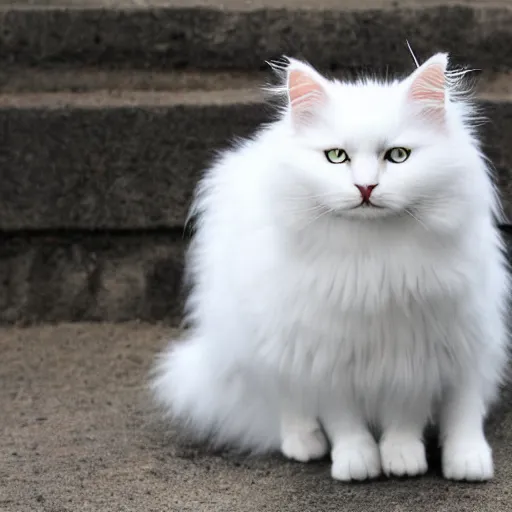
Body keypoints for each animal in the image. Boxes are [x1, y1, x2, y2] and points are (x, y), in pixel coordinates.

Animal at [151, 54, 508, 482]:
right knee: (287, 400)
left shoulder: (416, 351)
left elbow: (405, 415)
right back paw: (304, 444)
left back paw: (467, 462)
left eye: (398, 156)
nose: (366, 188)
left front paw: (402, 460)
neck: (375, 261)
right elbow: (344, 420)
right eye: (336, 156)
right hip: (261, 344)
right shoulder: (324, 354)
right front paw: (358, 463)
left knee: (465, 407)